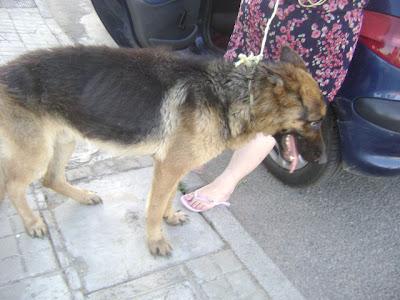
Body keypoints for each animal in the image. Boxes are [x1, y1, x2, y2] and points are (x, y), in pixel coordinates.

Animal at [0, 46, 324, 255]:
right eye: (315, 122)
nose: (322, 160)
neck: (233, 96)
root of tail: (4, 72)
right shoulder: (168, 166)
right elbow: (154, 208)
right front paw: (155, 241)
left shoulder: (175, 166)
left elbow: (167, 199)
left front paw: (171, 217)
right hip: (38, 152)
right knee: (14, 186)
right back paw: (33, 223)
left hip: (66, 139)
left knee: (51, 179)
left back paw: (82, 196)